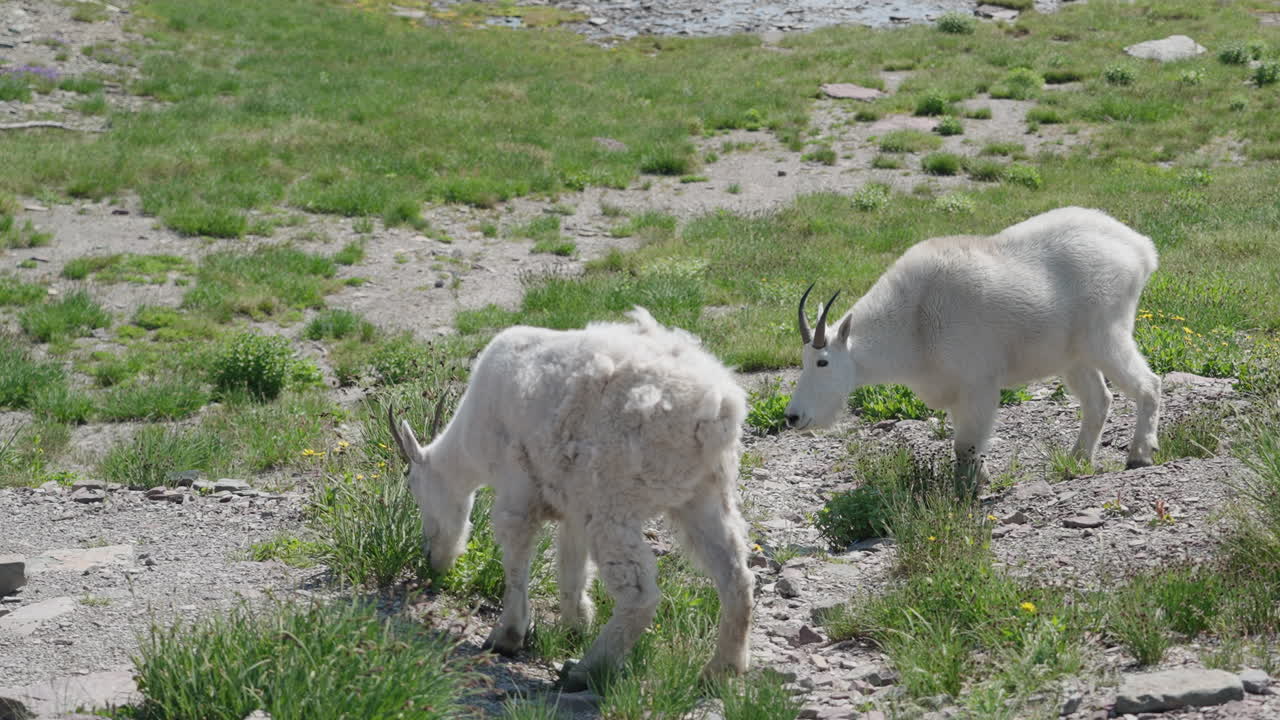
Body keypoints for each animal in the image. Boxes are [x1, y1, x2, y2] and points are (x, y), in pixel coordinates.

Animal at [388, 308, 752, 691]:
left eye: (414, 486)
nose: (432, 559)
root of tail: (717, 410)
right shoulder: (574, 503)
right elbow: (571, 564)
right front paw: (575, 624)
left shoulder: (518, 487)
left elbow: (516, 560)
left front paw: (506, 636)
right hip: (705, 495)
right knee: (736, 577)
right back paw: (722, 669)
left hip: (613, 500)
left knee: (640, 594)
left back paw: (586, 670)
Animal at [784, 207, 1162, 482]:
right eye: (803, 361)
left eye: (823, 362)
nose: (792, 416)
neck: (914, 321)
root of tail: (1141, 248)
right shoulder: (954, 391)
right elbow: (966, 445)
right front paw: (979, 480)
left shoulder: (978, 384)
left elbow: (965, 444)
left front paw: (972, 490)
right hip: (1073, 357)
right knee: (1099, 400)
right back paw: (1078, 460)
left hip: (1106, 335)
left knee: (1149, 384)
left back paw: (1139, 455)